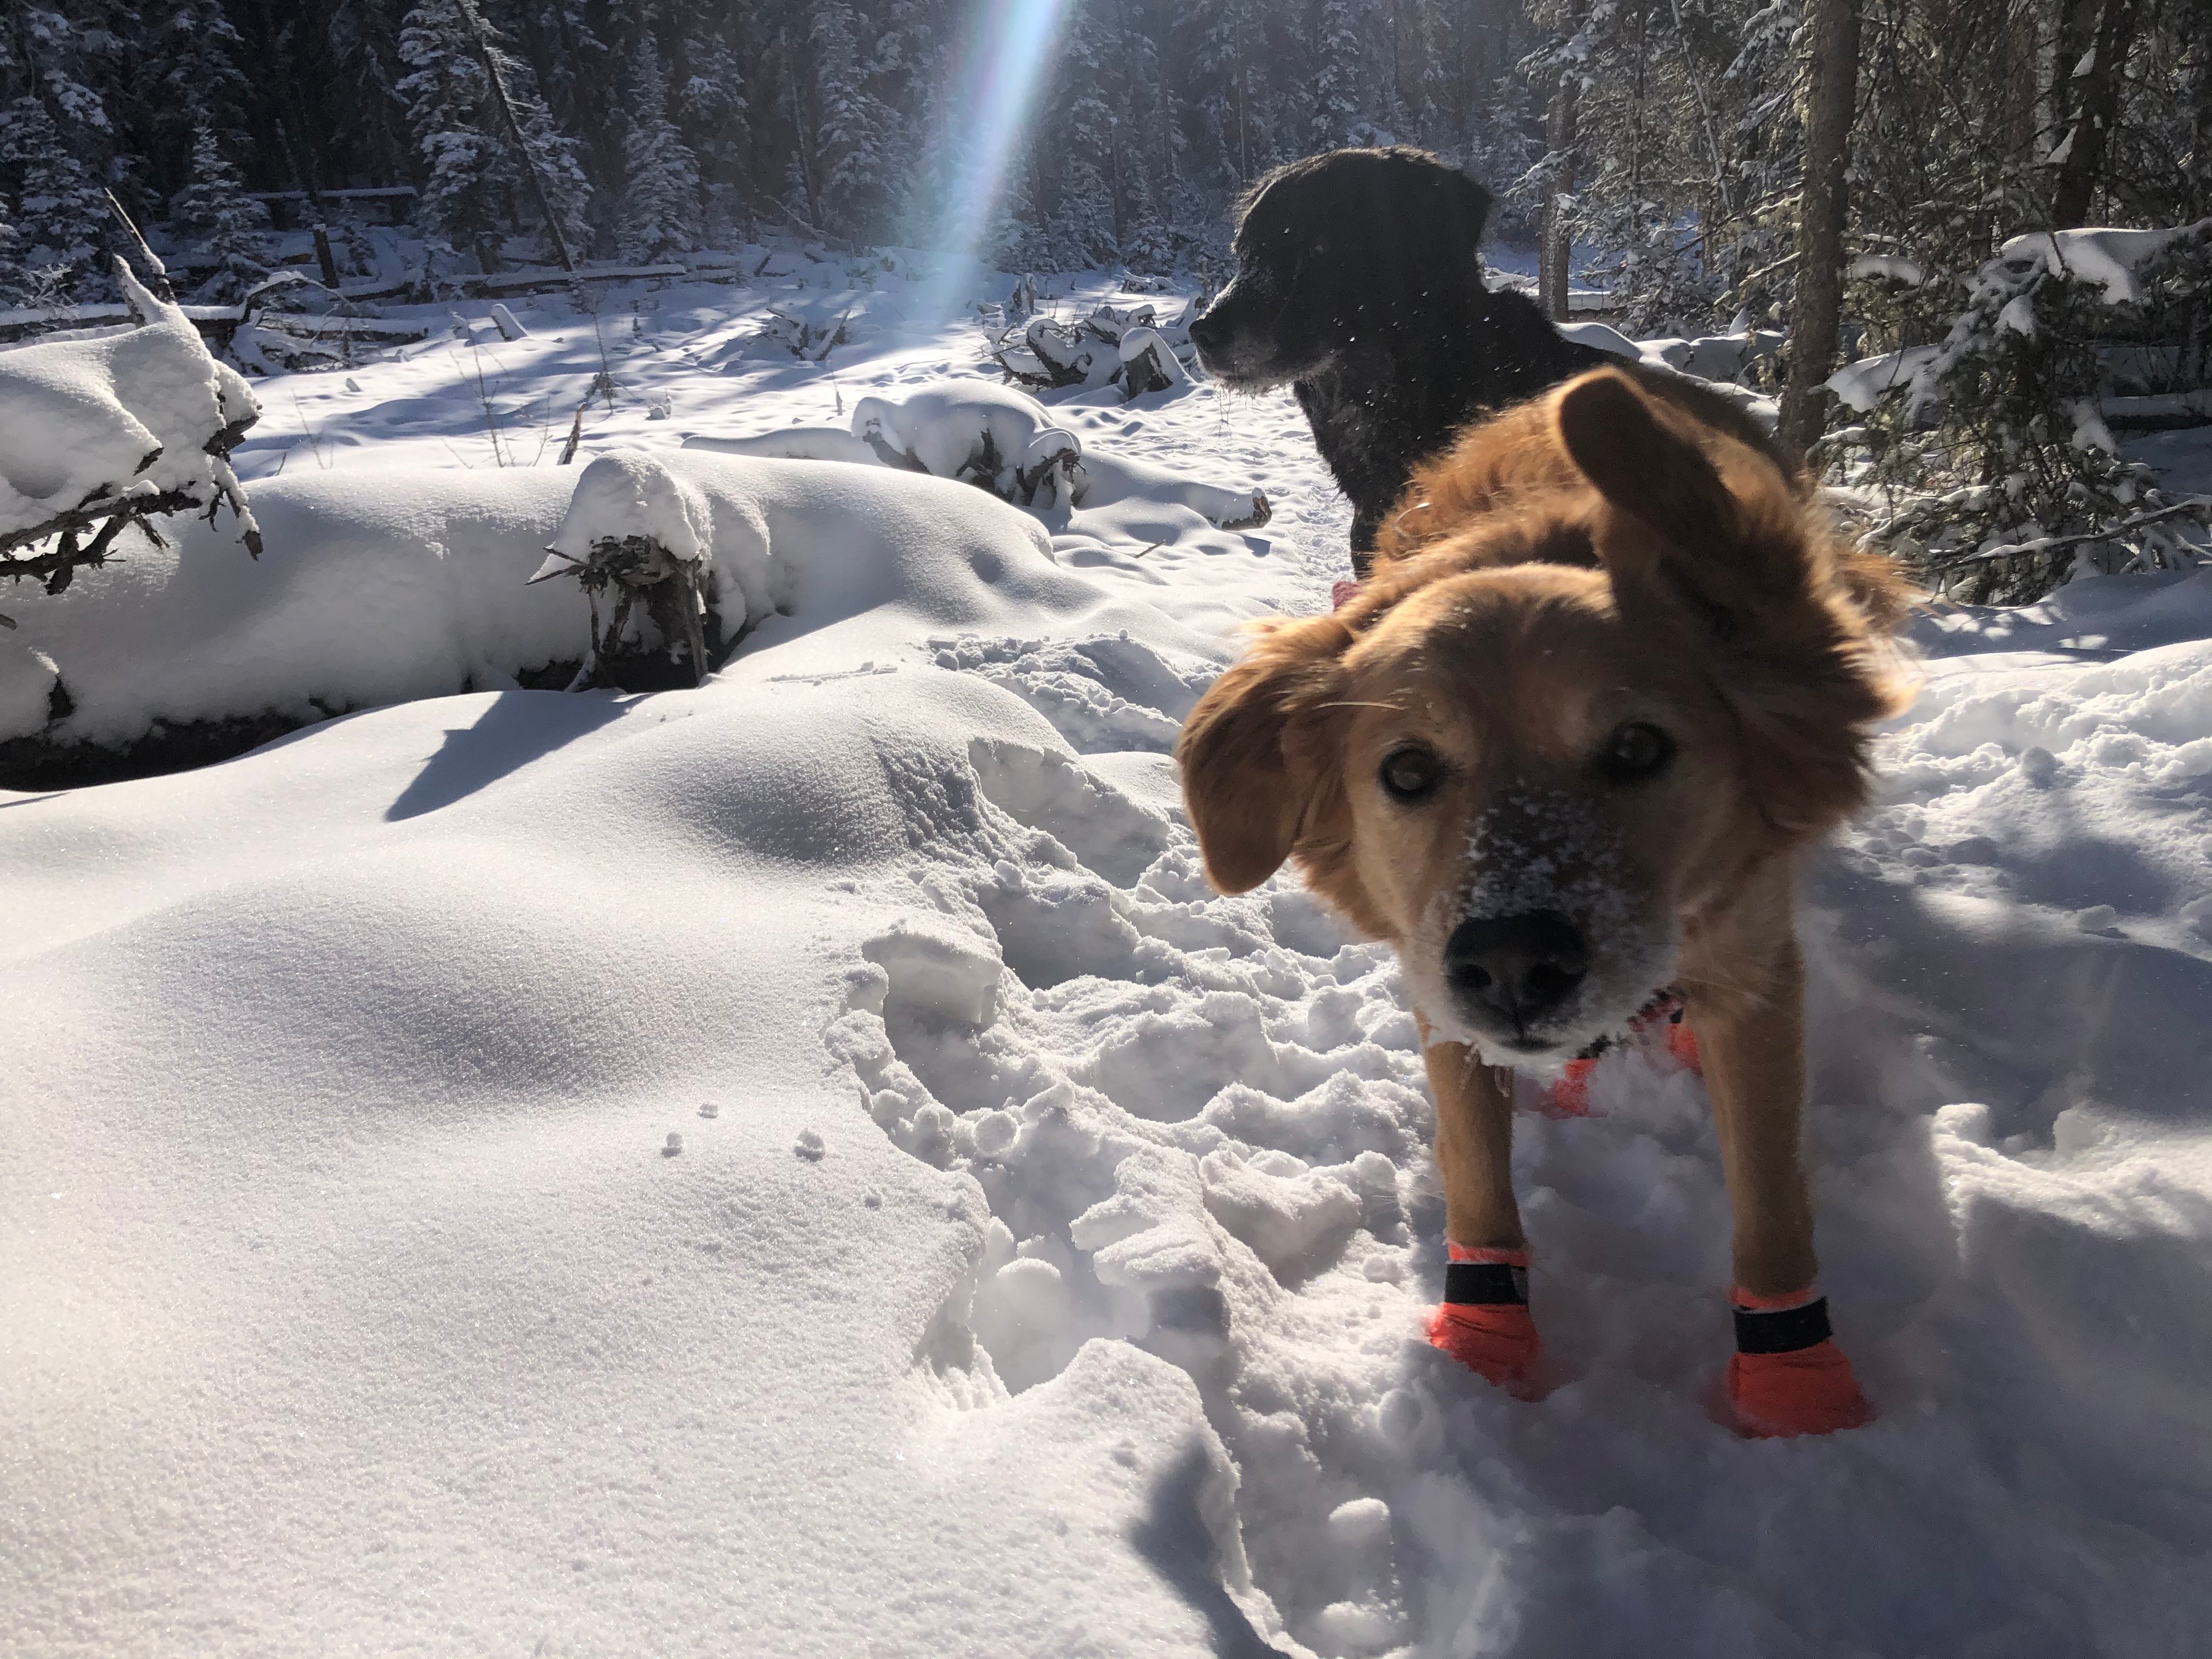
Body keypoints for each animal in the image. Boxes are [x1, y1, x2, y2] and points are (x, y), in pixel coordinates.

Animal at [1177, 369, 1920, 1433]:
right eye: (1406, 771)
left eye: (1639, 746)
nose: (1515, 962)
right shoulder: (1435, 985)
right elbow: (1478, 1168)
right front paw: (1485, 1350)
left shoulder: (1756, 970)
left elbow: (1771, 1194)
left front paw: (1797, 1395)